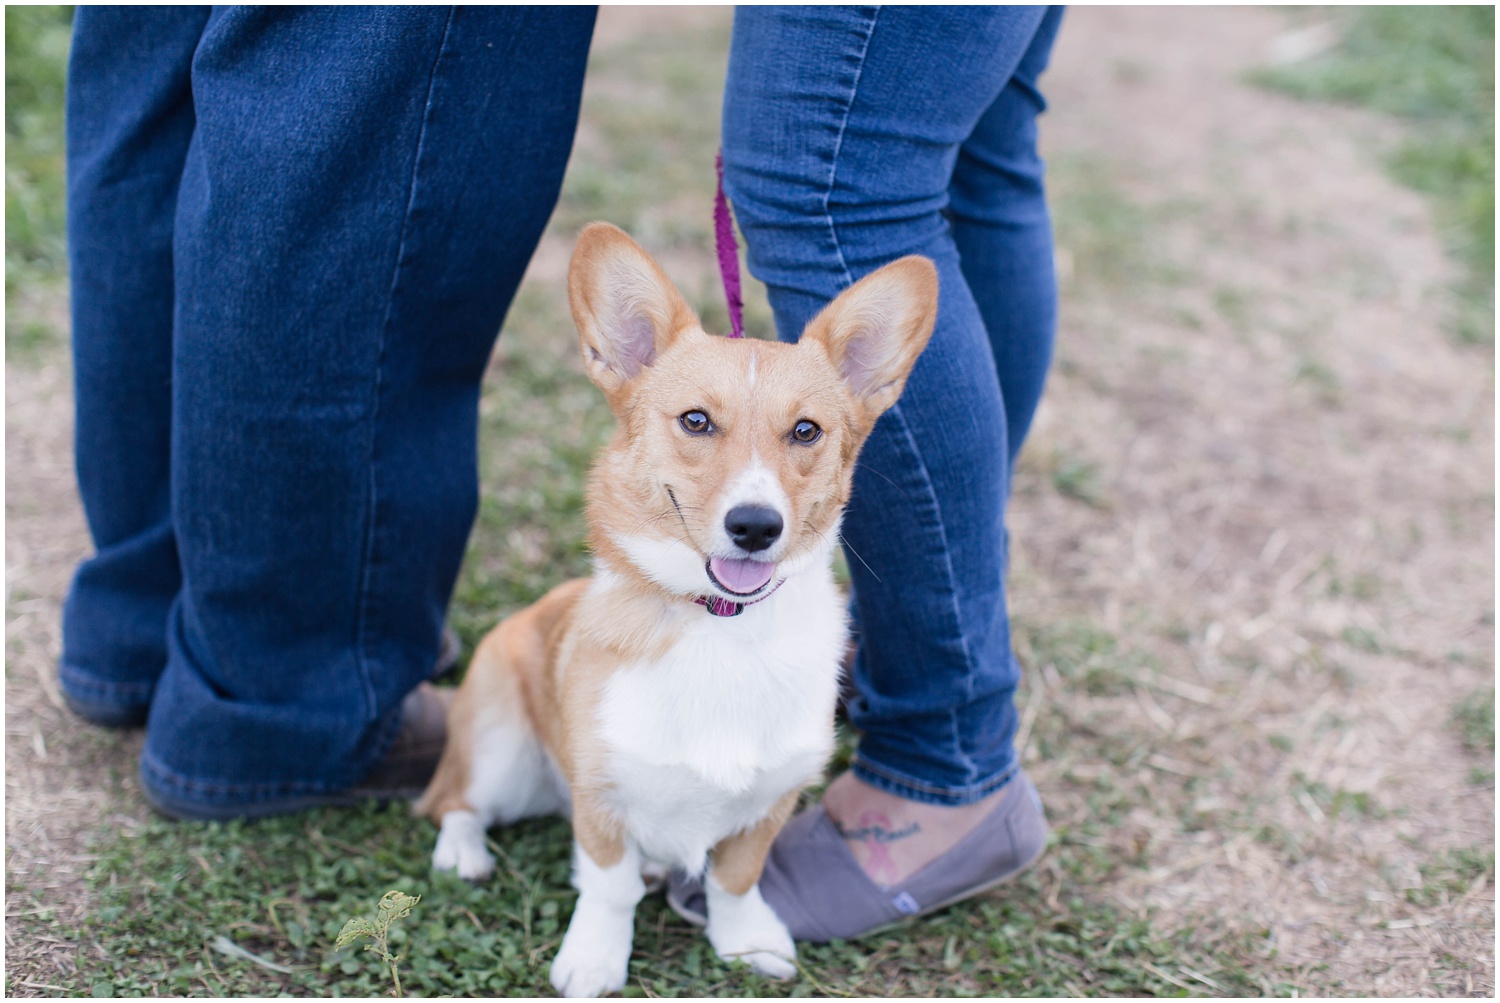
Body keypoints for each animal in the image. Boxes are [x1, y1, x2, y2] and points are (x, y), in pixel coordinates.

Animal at [417, 223, 936, 995]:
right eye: (696, 420)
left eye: (806, 431)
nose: (755, 526)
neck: (723, 623)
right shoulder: (601, 794)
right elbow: (609, 885)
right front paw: (594, 959)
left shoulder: (770, 799)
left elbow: (735, 879)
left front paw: (747, 941)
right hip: (498, 750)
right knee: (456, 802)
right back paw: (463, 853)